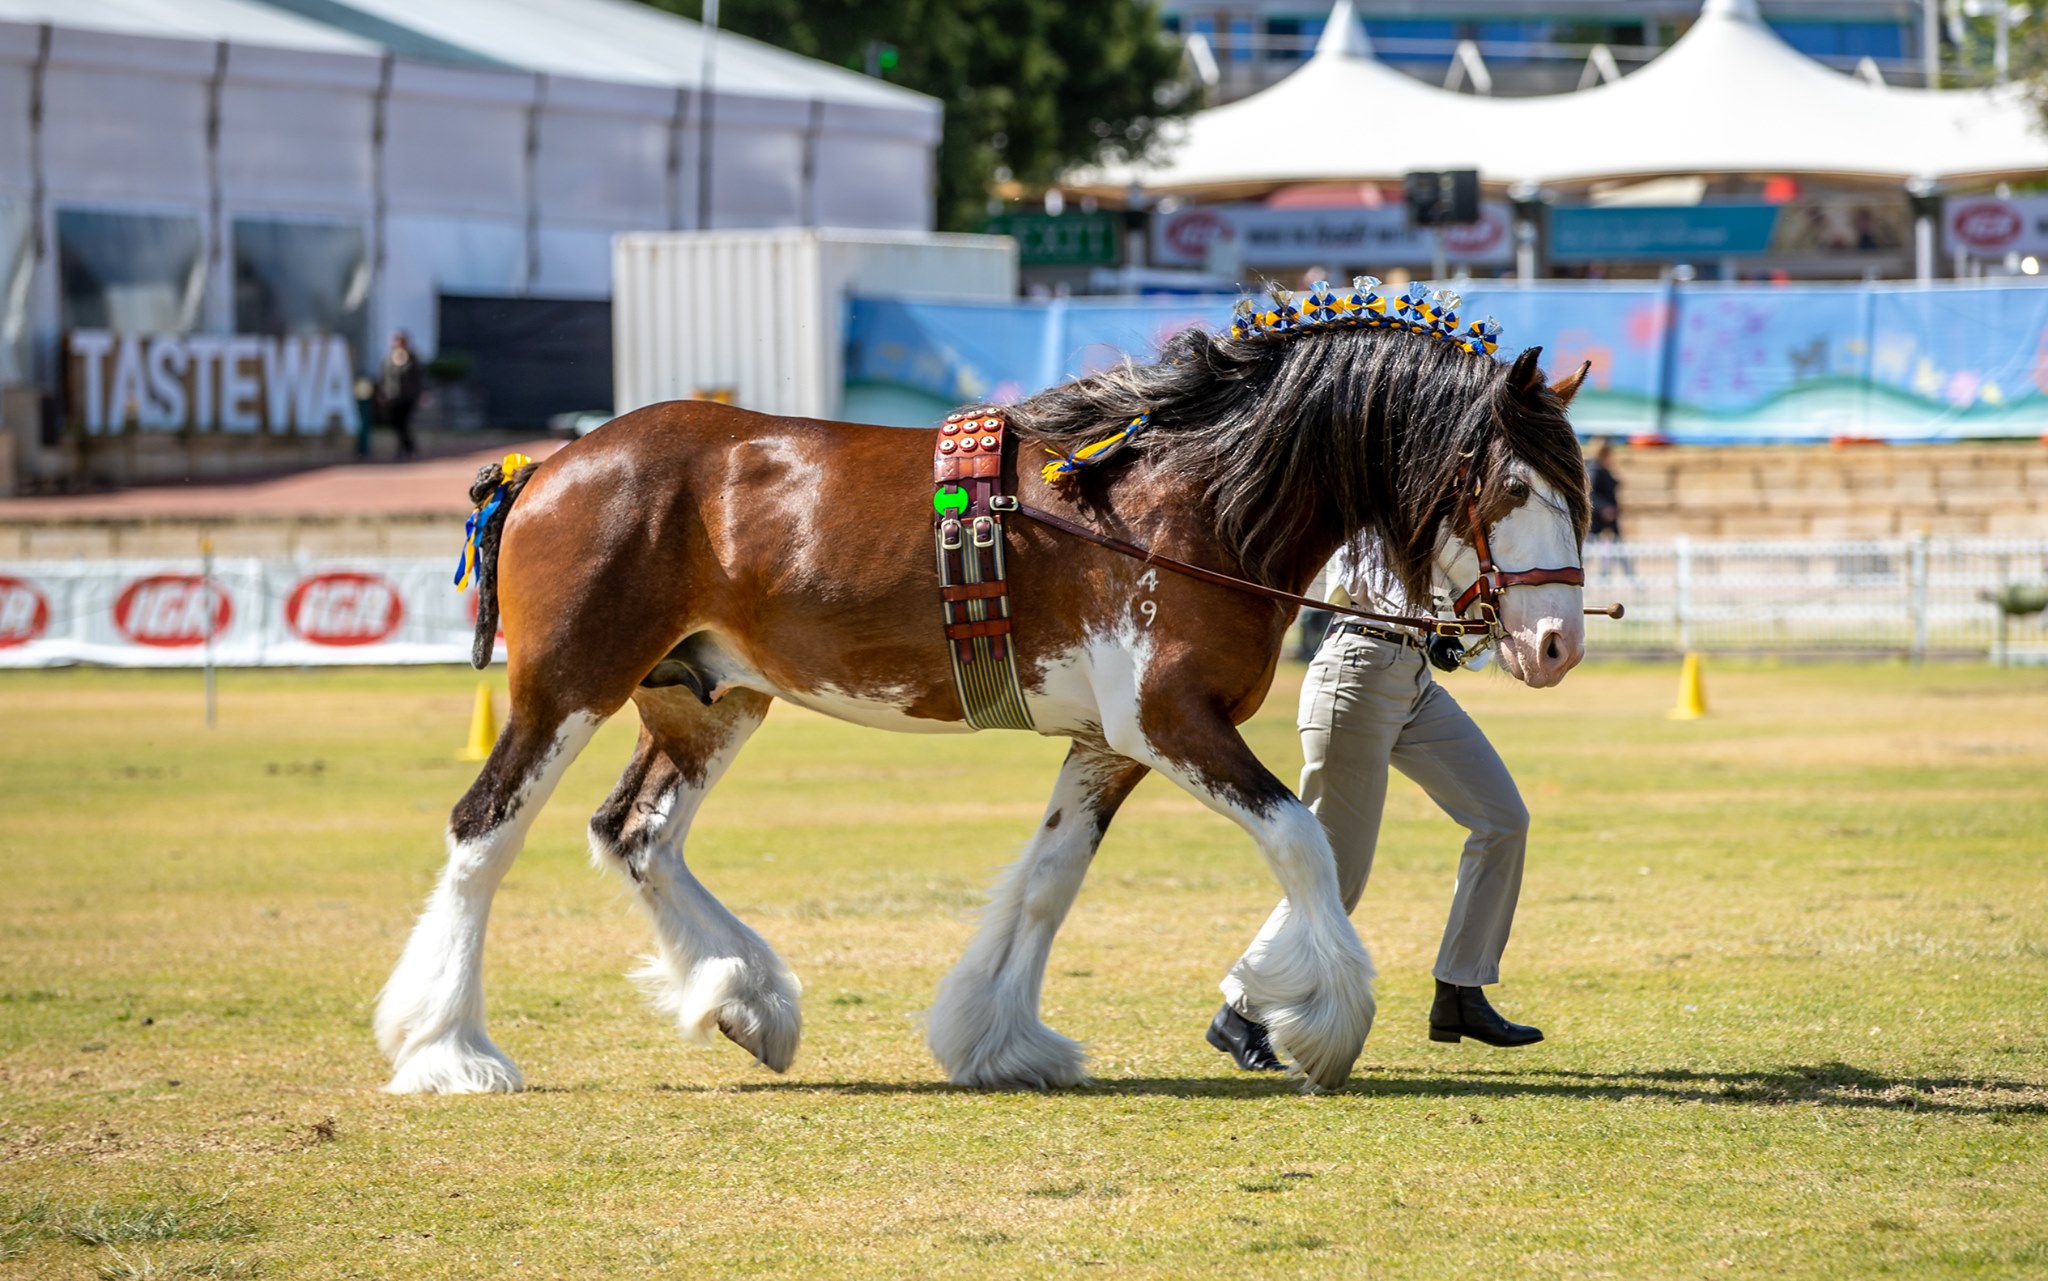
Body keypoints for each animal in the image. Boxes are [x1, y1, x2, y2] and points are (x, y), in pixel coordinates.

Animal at [380, 315, 1597, 1090]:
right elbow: (1302, 839)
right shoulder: (1171, 723)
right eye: (1510, 486)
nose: (1556, 644)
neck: (1175, 504)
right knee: (483, 833)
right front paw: (1324, 1020)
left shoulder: (1110, 743)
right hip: (565, 689)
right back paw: (451, 1050)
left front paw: (998, 1040)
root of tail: (547, 464)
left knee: (636, 835)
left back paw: (746, 996)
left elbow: (1048, 883)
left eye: (1582, 489)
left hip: (708, 701)